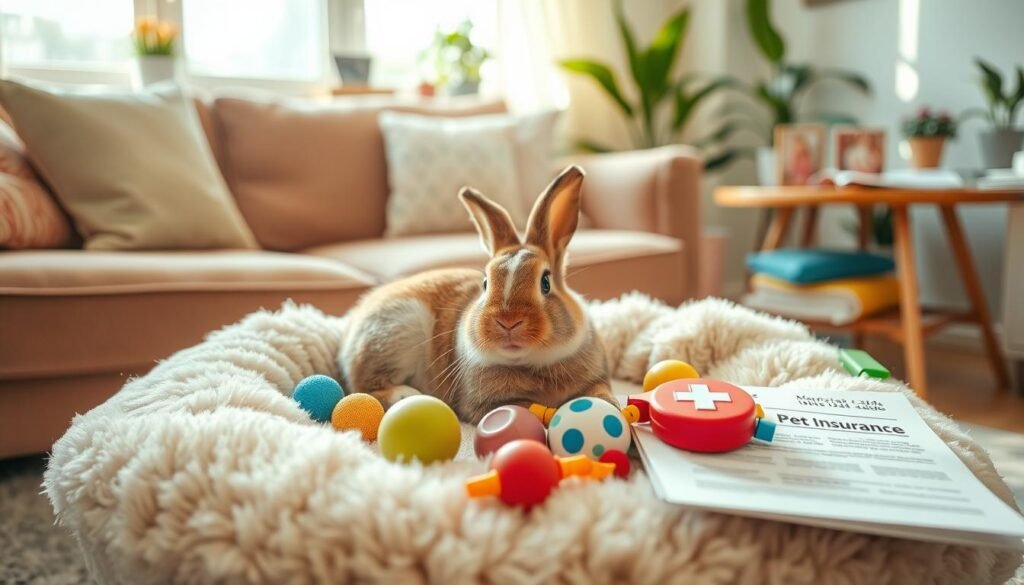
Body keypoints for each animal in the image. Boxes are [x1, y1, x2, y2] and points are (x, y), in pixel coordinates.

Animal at [339, 165, 613, 423]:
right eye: (485, 283)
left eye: (545, 282)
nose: (508, 322)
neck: (531, 364)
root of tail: (352, 326)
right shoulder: (486, 404)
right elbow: (524, 407)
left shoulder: (597, 378)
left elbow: (601, 393)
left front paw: (610, 407)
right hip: (394, 334)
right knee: (364, 387)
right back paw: (405, 394)